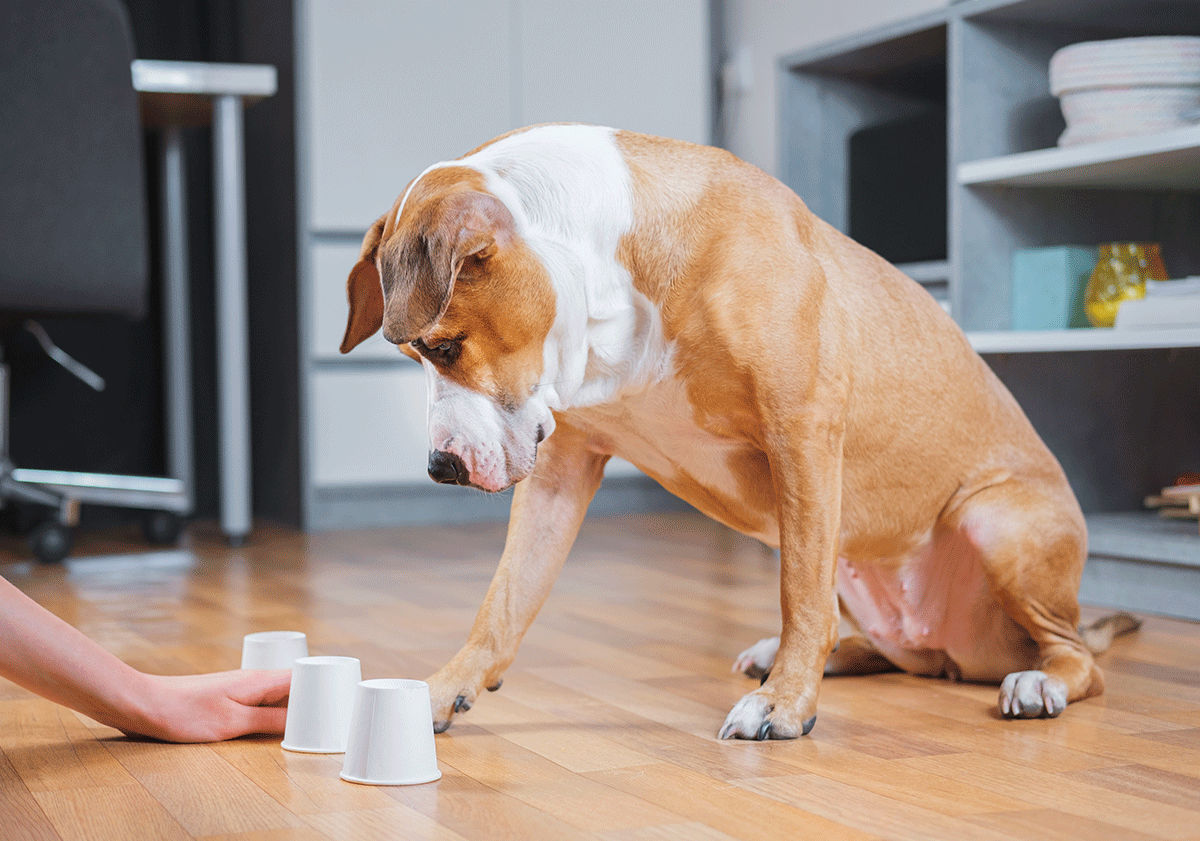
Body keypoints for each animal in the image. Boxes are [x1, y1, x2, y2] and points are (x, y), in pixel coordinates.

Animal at [340, 124, 1132, 739]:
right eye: (416, 356)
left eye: (445, 347)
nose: (440, 466)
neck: (611, 274)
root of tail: (966, 652)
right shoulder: (562, 469)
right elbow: (504, 600)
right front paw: (444, 688)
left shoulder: (802, 431)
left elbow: (798, 594)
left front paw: (784, 706)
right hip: (862, 560)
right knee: (890, 644)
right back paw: (823, 655)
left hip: (995, 521)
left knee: (1074, 657)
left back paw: (1037, 683)